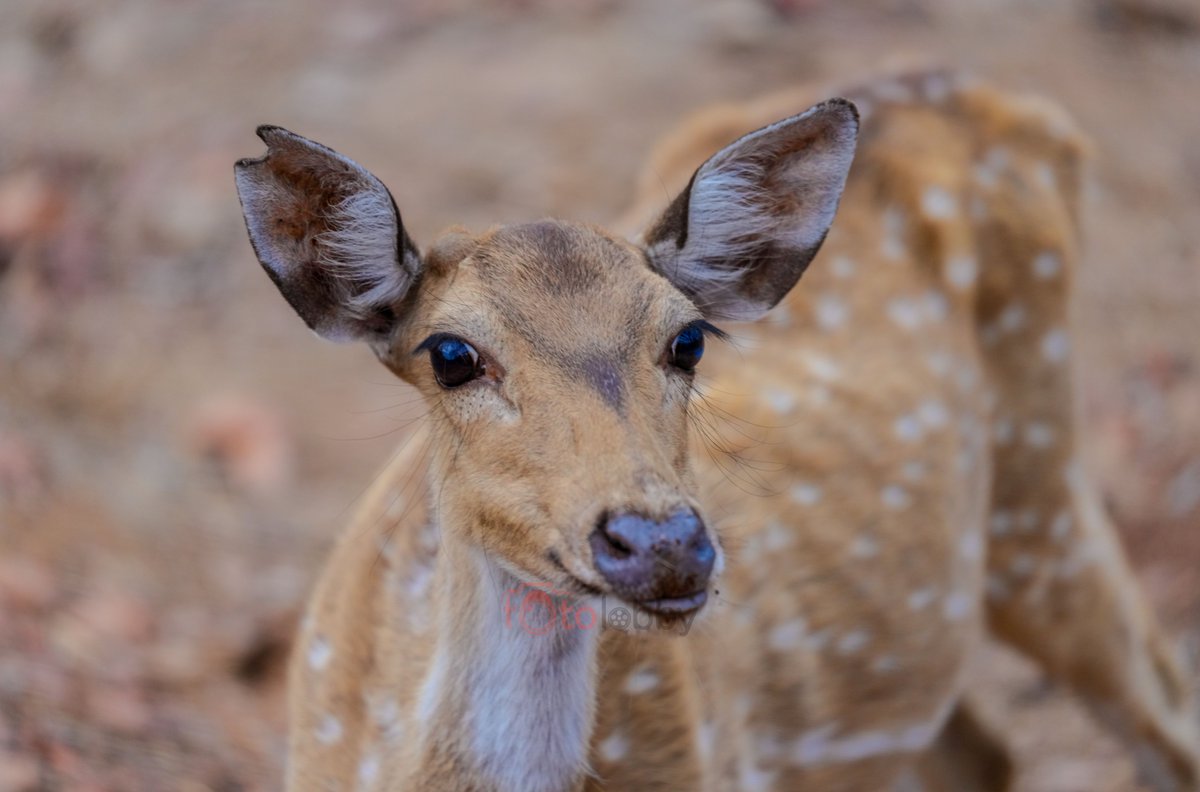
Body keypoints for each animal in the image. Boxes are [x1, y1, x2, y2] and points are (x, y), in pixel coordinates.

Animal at [234, 69, 1200, 792]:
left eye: (688, 340)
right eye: (450, 353)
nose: (662, 543)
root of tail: (1018, 111)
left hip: (1041, 485)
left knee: (1166, 710)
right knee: (985, 753)